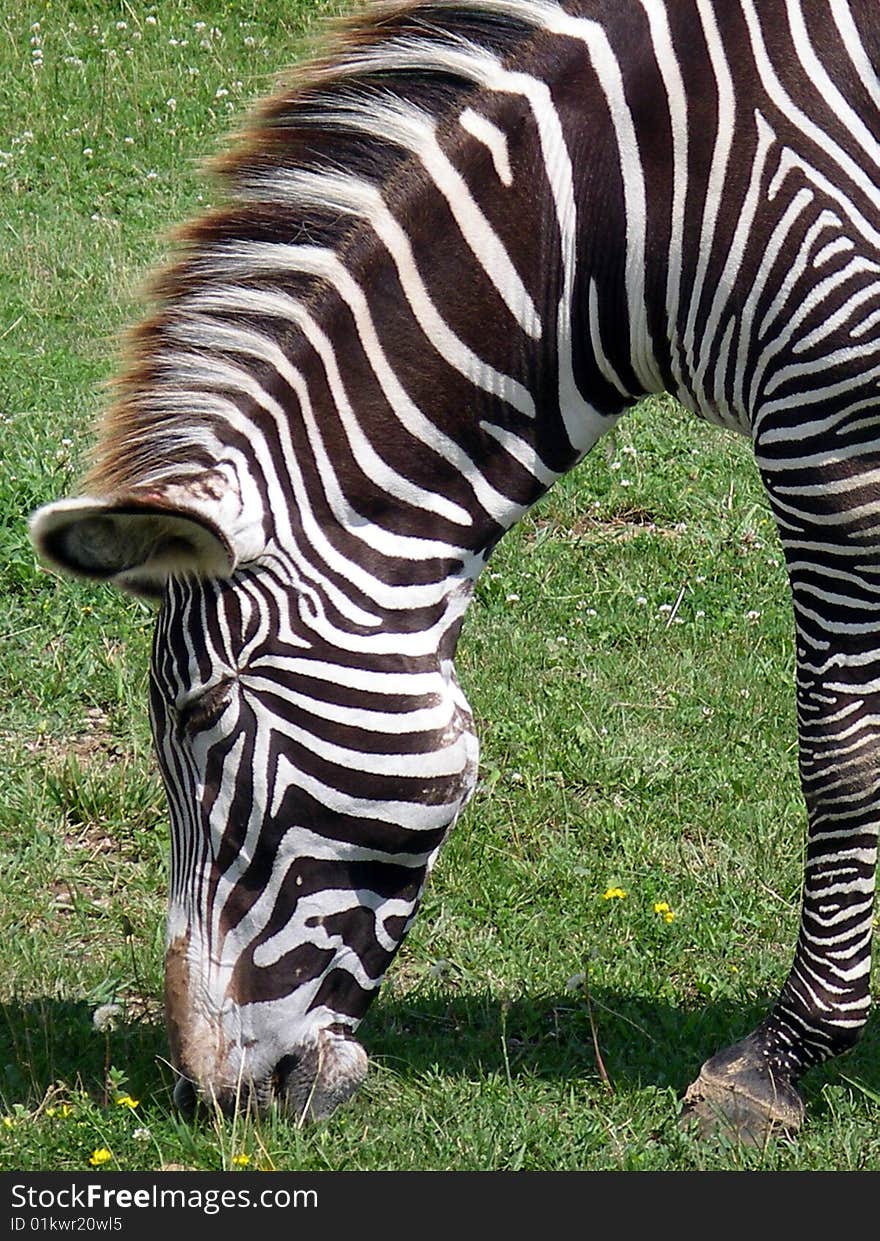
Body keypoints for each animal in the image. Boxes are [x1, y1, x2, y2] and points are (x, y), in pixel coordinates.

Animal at [27, 0, 878, 1141]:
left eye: (202, 718)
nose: (206, 1093)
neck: (646, 203)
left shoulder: (830, 426)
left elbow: (839, 748)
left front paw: (777, 1058)